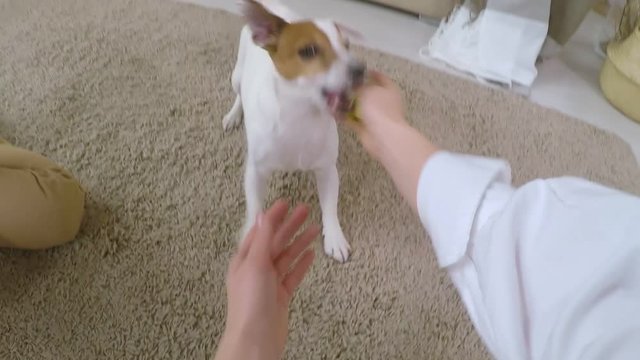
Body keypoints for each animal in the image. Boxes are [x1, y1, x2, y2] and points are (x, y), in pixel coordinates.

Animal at [224, 0, 364, 264]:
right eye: (308, 51)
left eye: (347, 46)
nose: (360, 69)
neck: (301, 116)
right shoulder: (256, 171)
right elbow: (255, 208)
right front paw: (252, 238)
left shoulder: (327, 170)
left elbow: (330, 207)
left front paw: (334, 237)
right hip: (236, 76)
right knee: (238, 94)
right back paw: (233, 115)